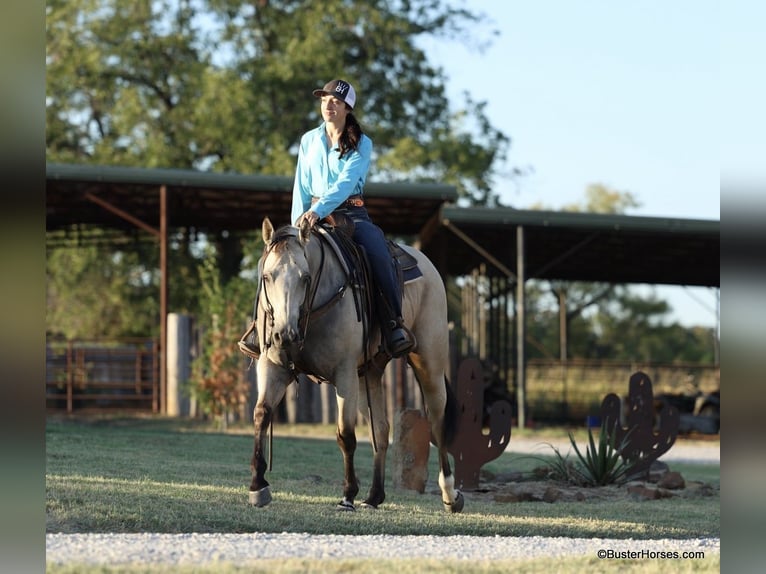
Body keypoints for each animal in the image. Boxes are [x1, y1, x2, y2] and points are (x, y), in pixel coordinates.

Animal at [247, 216, 464, 513]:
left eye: (306, 277)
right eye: (267, 277)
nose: (286, 335)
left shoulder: (345, 374)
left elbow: (345, 435)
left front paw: (348, 495)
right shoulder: (272, 366)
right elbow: (261, 414)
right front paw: (258, 486)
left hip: (429, 361)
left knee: (437, 421)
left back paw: (450, 494)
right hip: (369, 375)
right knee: (381, 431)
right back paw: (374, 496)